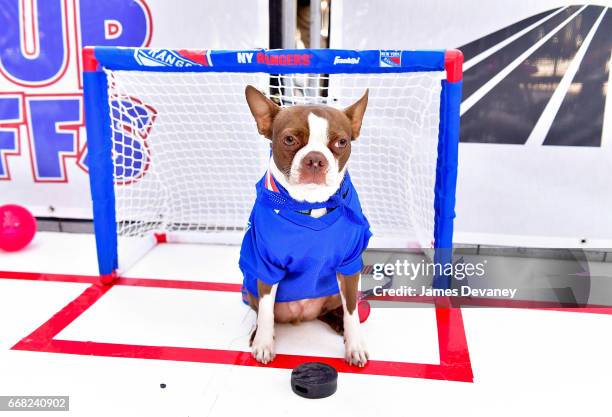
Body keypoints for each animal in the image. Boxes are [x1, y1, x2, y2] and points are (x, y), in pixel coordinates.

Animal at [243, 86, 368, 366]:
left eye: (341, 142)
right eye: (289, 140)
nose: (315, 159)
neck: (312, 204)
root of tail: (302, 315)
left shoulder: (349, 266)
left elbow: (352, 311)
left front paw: (354, 345)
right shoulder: (266, 267)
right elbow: (265, 311)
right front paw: (264, 342)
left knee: (333, 310)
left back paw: (338, 324)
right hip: (251, 286)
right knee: (263, 311)